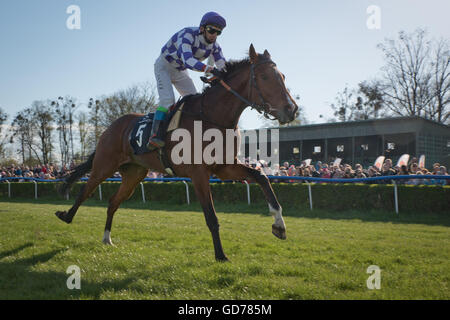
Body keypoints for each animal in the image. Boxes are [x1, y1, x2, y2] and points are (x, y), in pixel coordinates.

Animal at [56, 44, 300, 260]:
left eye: (283, 76)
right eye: (265, 77)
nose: (292, 109)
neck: (213, 117)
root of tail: (111, 127)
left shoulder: (223, 167)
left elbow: (261, 177)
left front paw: (279, 225)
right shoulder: (199, 173)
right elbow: (211, 217)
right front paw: (221, 256)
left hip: (134, 174)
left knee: (112, 201)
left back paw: (107, 238)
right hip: (105, 165)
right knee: (85, 190)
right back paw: (66, 216)